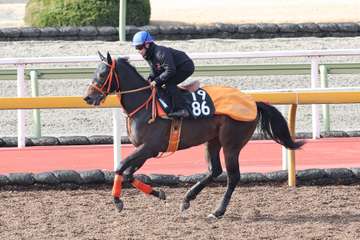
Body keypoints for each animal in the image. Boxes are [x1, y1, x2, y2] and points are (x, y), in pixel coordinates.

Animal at [83, 52, 304, 219]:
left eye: (102, 74)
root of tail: (253, 102)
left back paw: (217, 211)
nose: (88, 97)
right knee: (215, 170)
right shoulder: (146, 150)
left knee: (233, 176)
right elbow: (128, 173)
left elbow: (120, 166)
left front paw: (117, 201)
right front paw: (158, 193)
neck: (144, 104)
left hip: (231, 144)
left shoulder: (149, 147)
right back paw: (187, 198)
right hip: (212, 141)